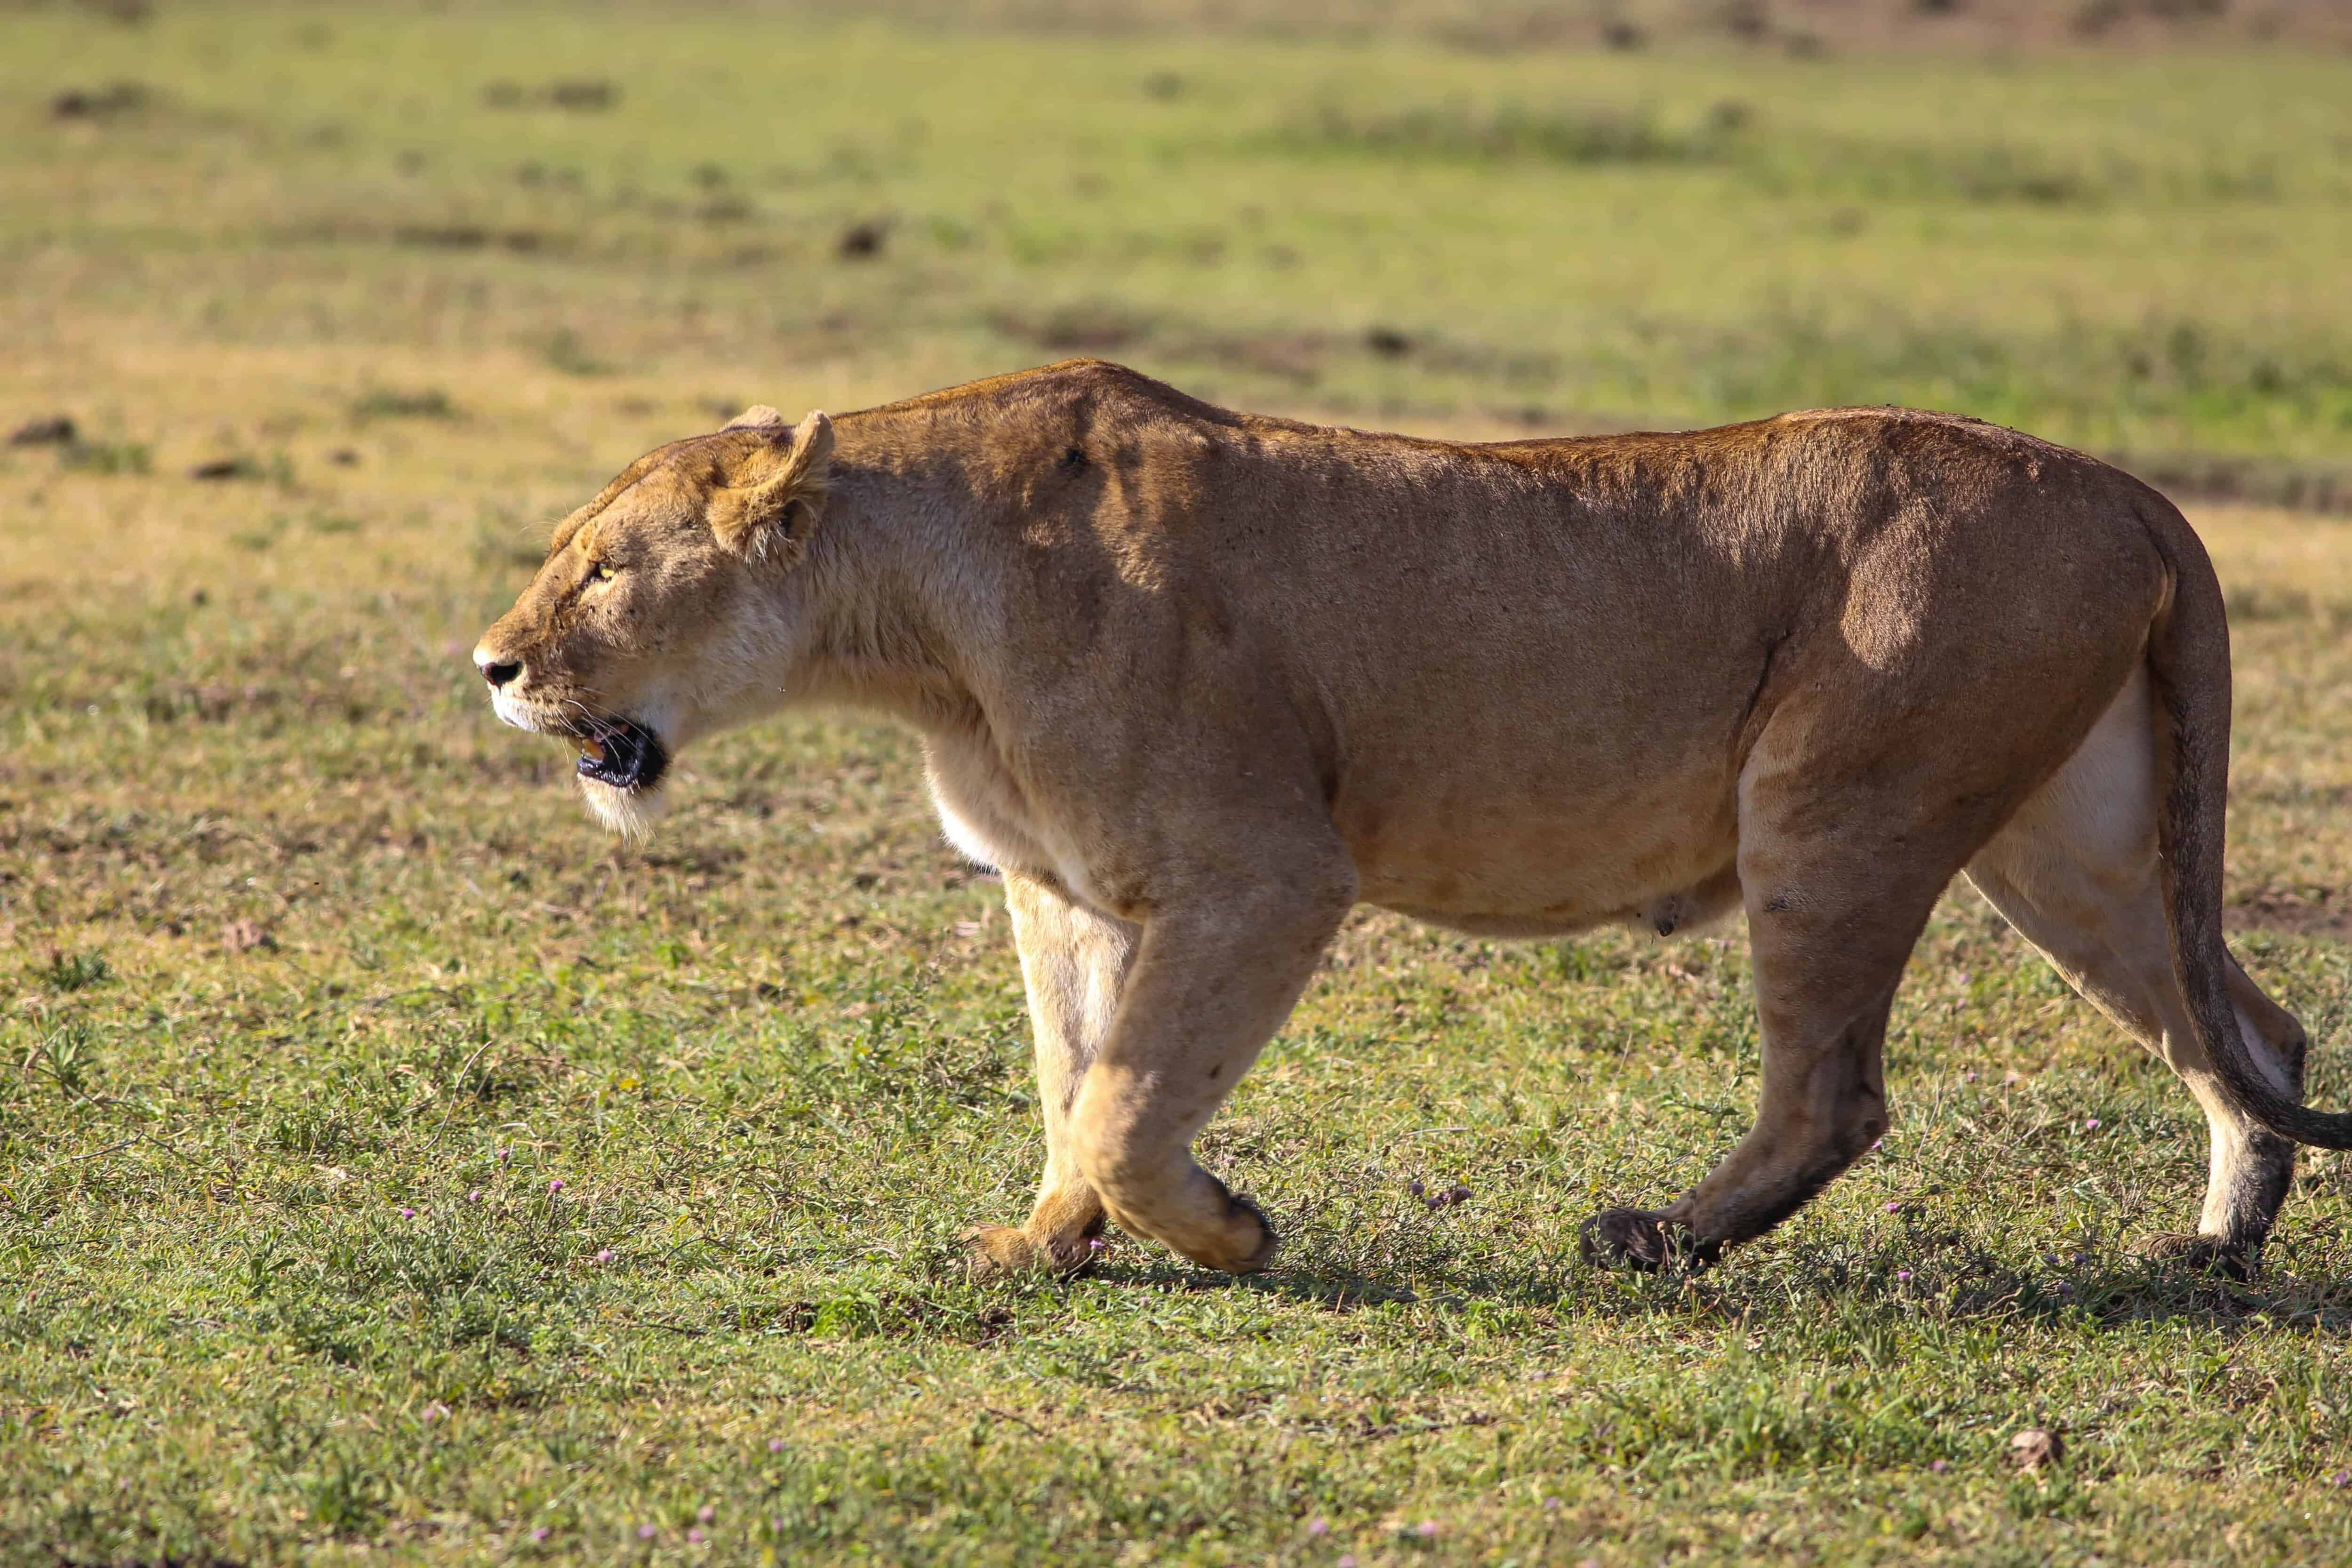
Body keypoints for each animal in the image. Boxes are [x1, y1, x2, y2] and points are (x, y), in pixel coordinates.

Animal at [474, 358, 2331, 1282]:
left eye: (602, 568)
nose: (490, 664)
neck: (920, 636)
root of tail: (2131, 490)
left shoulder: (1265, 871)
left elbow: (1131, 1102)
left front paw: (1227, 1232)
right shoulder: (1061, 887)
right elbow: (1076, 1078)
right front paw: (1044, 1244)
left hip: (1831, 802)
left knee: (1837, 1092)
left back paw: (1650, 1240)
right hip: (2072, 841)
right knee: (2254, 1029)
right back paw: (2211, 1247)